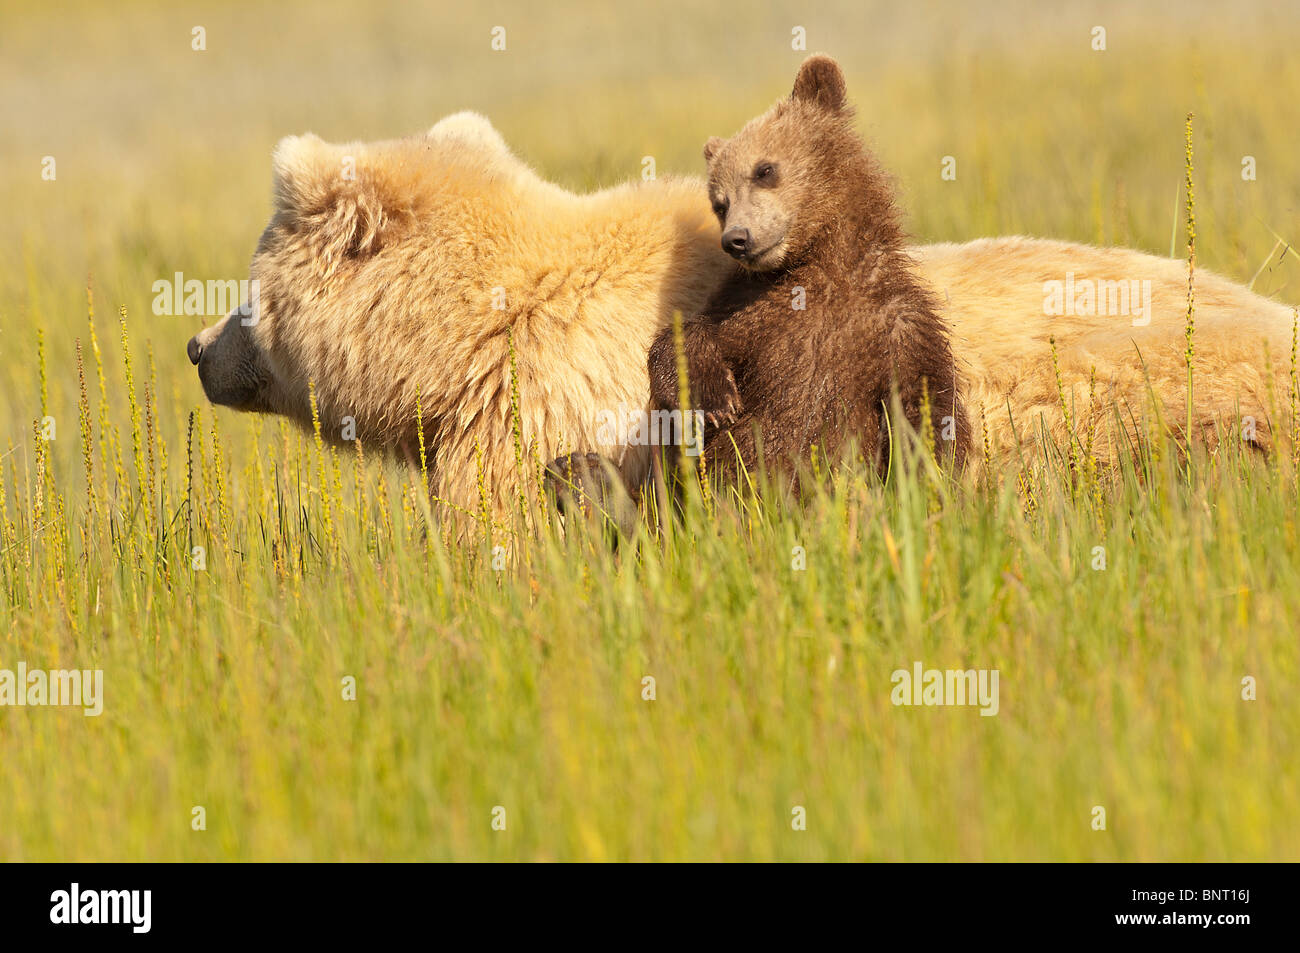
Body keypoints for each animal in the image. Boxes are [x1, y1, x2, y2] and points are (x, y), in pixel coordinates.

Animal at [642, 53, 969, 489]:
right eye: (719, 202)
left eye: (764, 169)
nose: (736, 238)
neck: (821, 270)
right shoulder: (755, 316)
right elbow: (683, 340)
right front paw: (713, 399)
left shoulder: (898, 325)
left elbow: (926, 409)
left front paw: (926, 481)